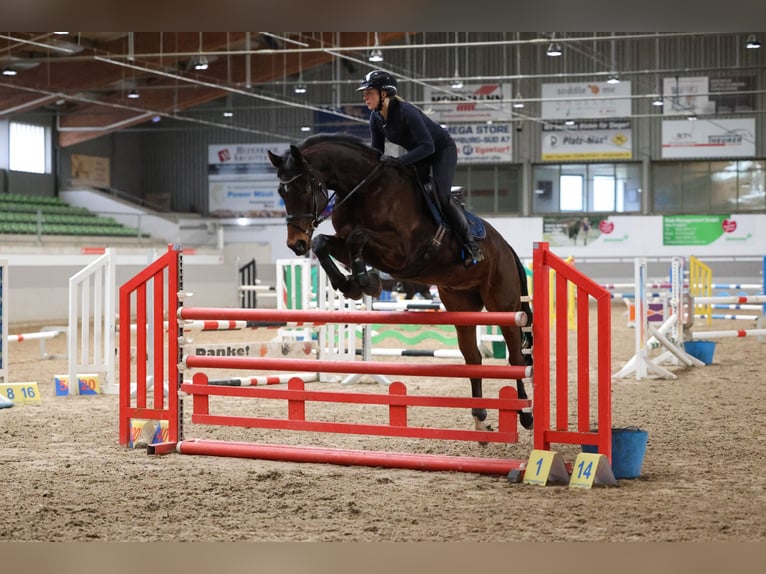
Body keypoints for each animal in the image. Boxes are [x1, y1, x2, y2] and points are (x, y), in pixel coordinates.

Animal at [267, 133, 533, 433]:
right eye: (281, 192)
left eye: (303, 188)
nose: (296, 244)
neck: (364, 189)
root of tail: (507, 248)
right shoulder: (349, 243)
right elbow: (324, 242)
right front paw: (353, 284)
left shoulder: (402, 252)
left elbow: (357, 237)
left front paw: (365, 281)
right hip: (462, 306)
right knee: (473, 357)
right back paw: (480, 417)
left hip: (504, 304)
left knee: (515, 357)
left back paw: (525, 415)